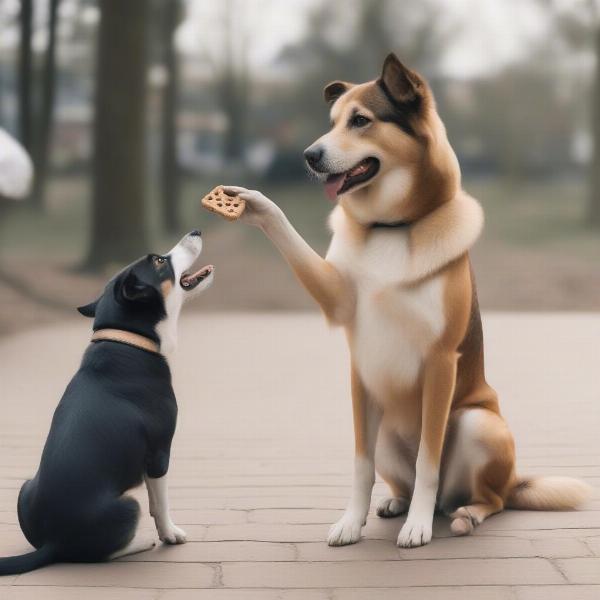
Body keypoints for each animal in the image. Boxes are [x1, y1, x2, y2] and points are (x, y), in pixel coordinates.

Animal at [0, 231, 214, 576]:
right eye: (159, 261)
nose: (195, 232)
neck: (130, 340)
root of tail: (53, 542)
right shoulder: (159, 454)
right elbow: (160, 503)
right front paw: (170, 534)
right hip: (127, 503)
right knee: (100, 552)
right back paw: (140, 542)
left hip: (25, 487)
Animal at [224, 54, 592, 548]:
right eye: (333, 122)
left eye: (361, 120)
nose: (308, 156)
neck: (390, 228)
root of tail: (513, 479)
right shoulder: (345, 328)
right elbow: (360, 466)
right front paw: (351, 521)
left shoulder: (440, 362)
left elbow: (429, 461)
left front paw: (417, 527)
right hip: (380, 428)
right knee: (407, 481)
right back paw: (395, 502)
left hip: (478, 423)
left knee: (485, 498)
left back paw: (463, 515)